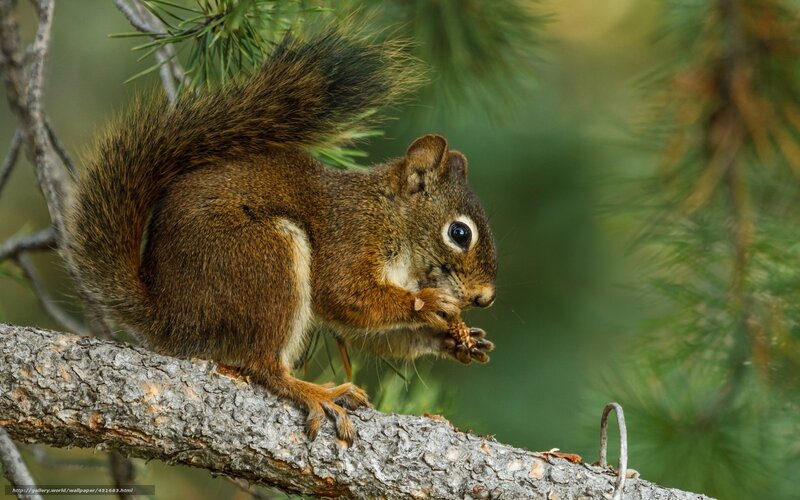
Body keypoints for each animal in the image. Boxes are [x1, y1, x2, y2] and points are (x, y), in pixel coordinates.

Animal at [64, 30, 497, 444]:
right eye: (459, 233)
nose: (485, 298)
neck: (394, 220)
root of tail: (171, 316)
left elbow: (368, 331)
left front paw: (457, 340)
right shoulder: (351, 235)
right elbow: (343, 295)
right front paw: (428, 302)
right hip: (264, 260)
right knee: (263, 365)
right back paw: (317, 393)